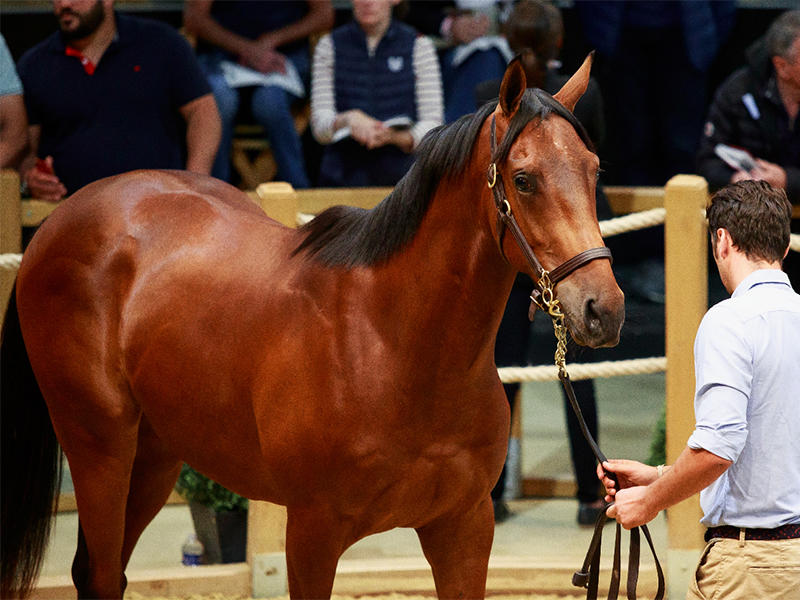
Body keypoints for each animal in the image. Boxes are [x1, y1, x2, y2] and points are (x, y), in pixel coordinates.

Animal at [1, 56, 624, 599]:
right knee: (101, 573)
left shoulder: (464, 530)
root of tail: (58, 221)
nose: (605, 308)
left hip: (153, 457)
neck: (390, 345)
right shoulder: (312, 537)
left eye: (594, 170)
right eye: (524, 179)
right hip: (100, 447)